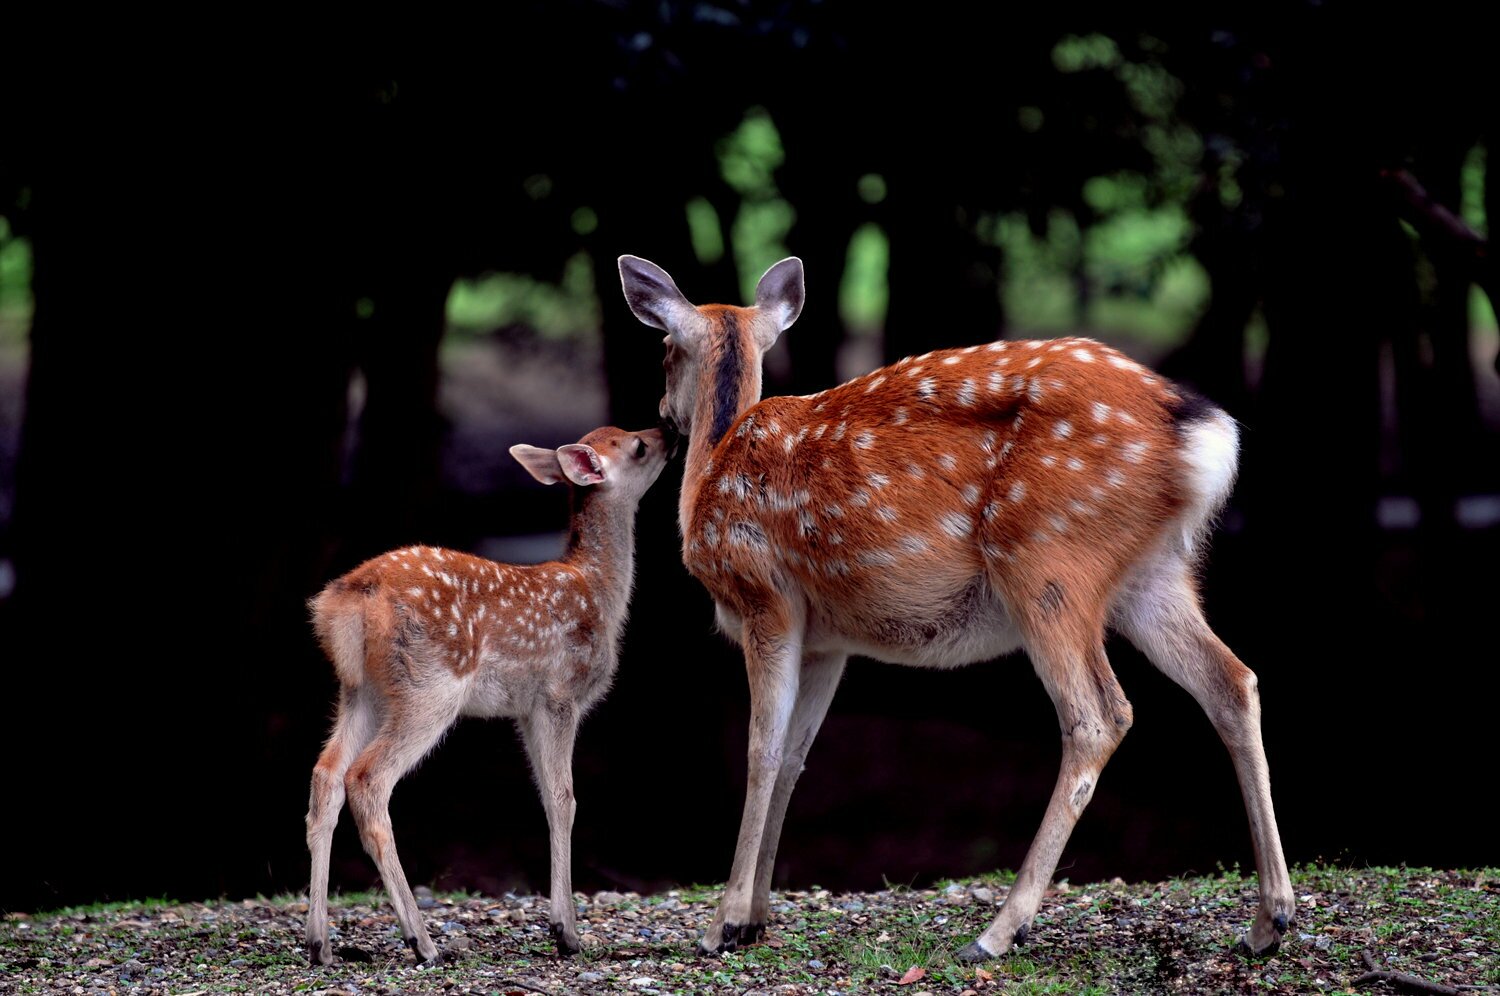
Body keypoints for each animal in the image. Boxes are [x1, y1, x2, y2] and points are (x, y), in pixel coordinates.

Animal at [615, 253, 1296, 960]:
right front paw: (756, 918)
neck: (711, 471)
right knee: (1232, 681)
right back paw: (1269, 920)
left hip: (1047, 558)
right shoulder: (828, 639)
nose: (663, 416)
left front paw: (723, 924)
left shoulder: (763, 597)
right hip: (1153, 574)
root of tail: (1201, 432)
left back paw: (998, 931)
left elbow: (763, 750)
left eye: (664, 350)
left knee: (1098, 715)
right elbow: (798, 756)